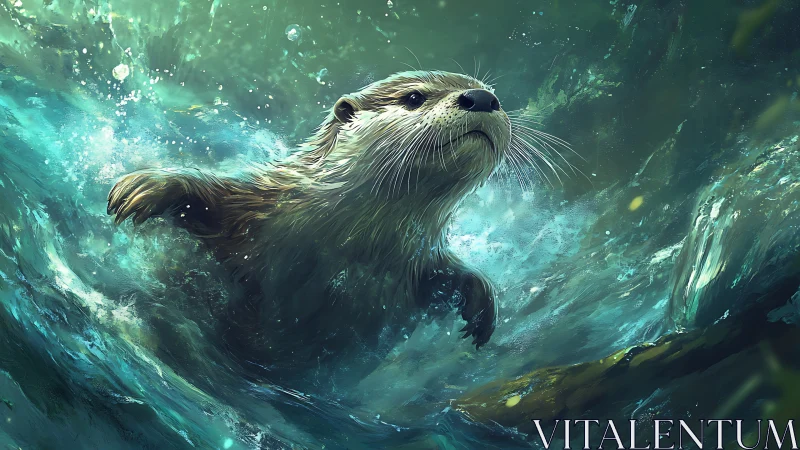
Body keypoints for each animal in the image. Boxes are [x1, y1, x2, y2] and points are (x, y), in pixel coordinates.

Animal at [107, 70, 512, 380]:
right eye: (414, 97)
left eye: (492, 92)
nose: (482, 98)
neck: (350, 244)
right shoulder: (257, 207)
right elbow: (210, 197)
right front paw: (148, 185)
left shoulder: (417, 261)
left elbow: (452, 274)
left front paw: (482, 306)